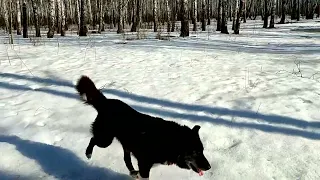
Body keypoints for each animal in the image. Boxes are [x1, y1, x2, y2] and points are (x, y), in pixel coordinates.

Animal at [74, 75, 210, 179]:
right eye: (196, 152)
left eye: (202, 151)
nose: (209, 167)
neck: (168, 140)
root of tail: (106, 102)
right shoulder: (144, 164)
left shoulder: (144, 163)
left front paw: (135, 175)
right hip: (105, 140)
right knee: (93, 139)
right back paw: (88, 153)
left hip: (125, 143)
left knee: (126, 159)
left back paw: (132, 172)